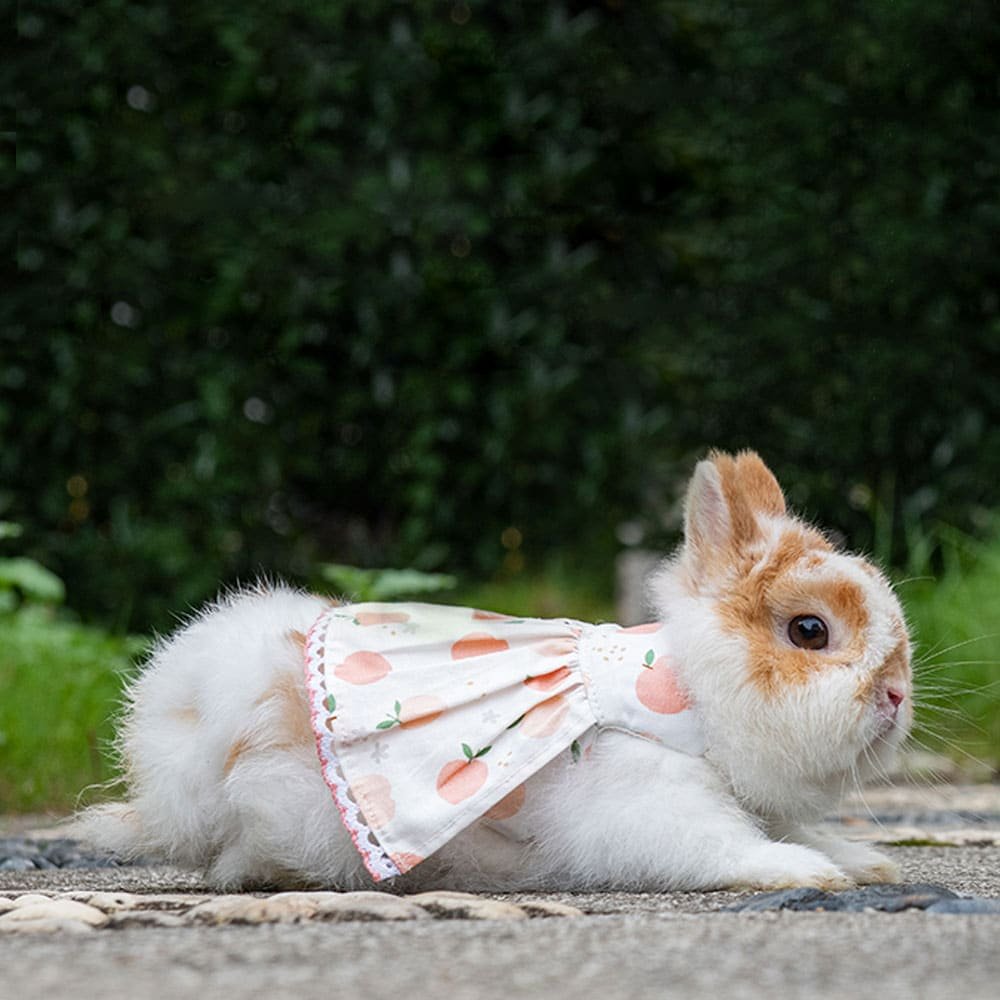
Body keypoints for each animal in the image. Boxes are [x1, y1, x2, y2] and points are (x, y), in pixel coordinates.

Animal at [79, 450, 912, 892]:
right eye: (809, 631)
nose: (898, 694)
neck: (685, 700)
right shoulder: (649, 803)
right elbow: (721, 847)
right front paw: (808, 874)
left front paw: (865, 865)